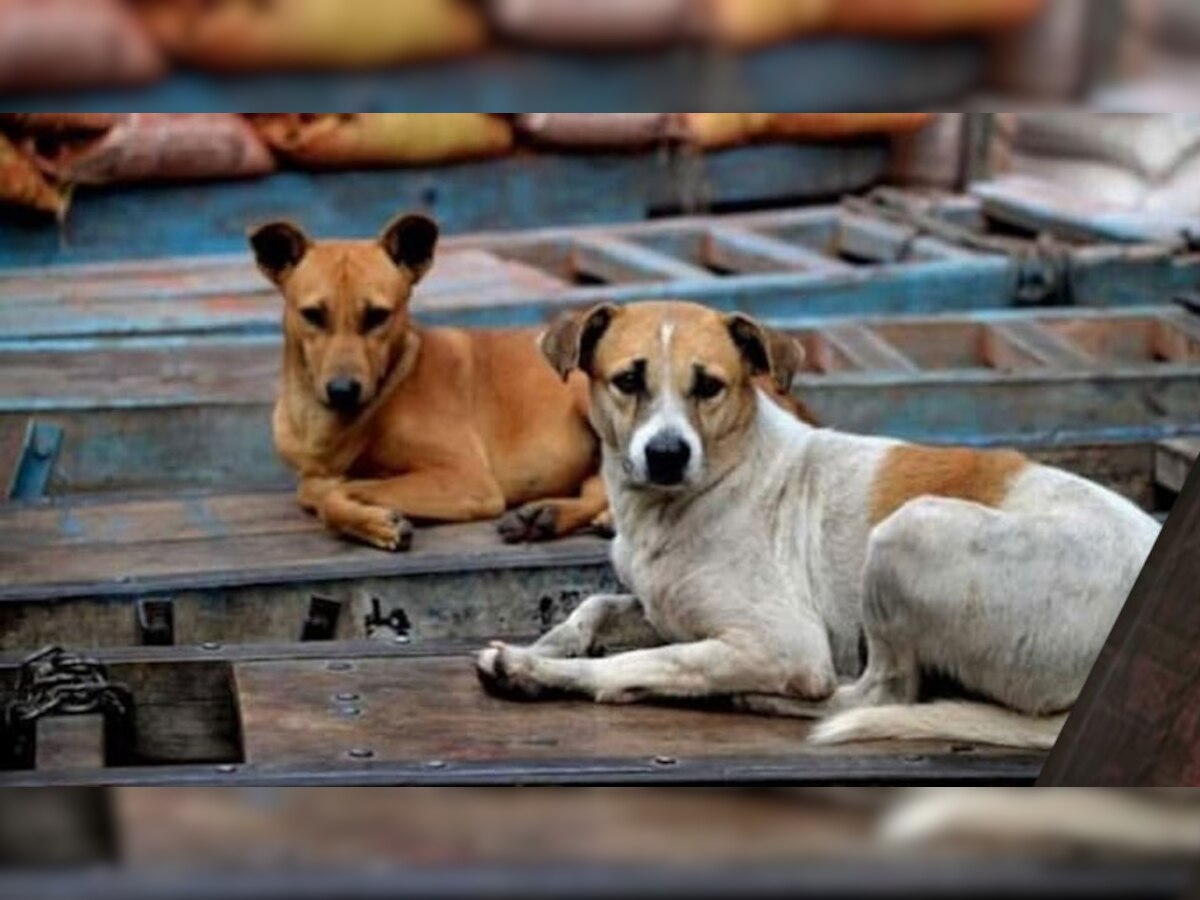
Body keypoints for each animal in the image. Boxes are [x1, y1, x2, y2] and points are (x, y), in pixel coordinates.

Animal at [254, 213, 609, 549]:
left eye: (378, 315)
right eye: (312, 314)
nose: (342, 391)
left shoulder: (467, 479)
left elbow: (335, 494)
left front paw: (375, 523)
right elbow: (315, 488)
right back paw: (551, 515)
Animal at [477, 300, 1161, 748]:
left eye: (710, 386)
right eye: (627, 381)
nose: (667, 455)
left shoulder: (784, 643)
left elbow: (640, 662)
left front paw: (536, 670)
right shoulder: (661, 607)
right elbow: (594, 607)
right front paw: (553, 643)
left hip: (907, 532)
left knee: (879, 693)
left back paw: (757, 697)